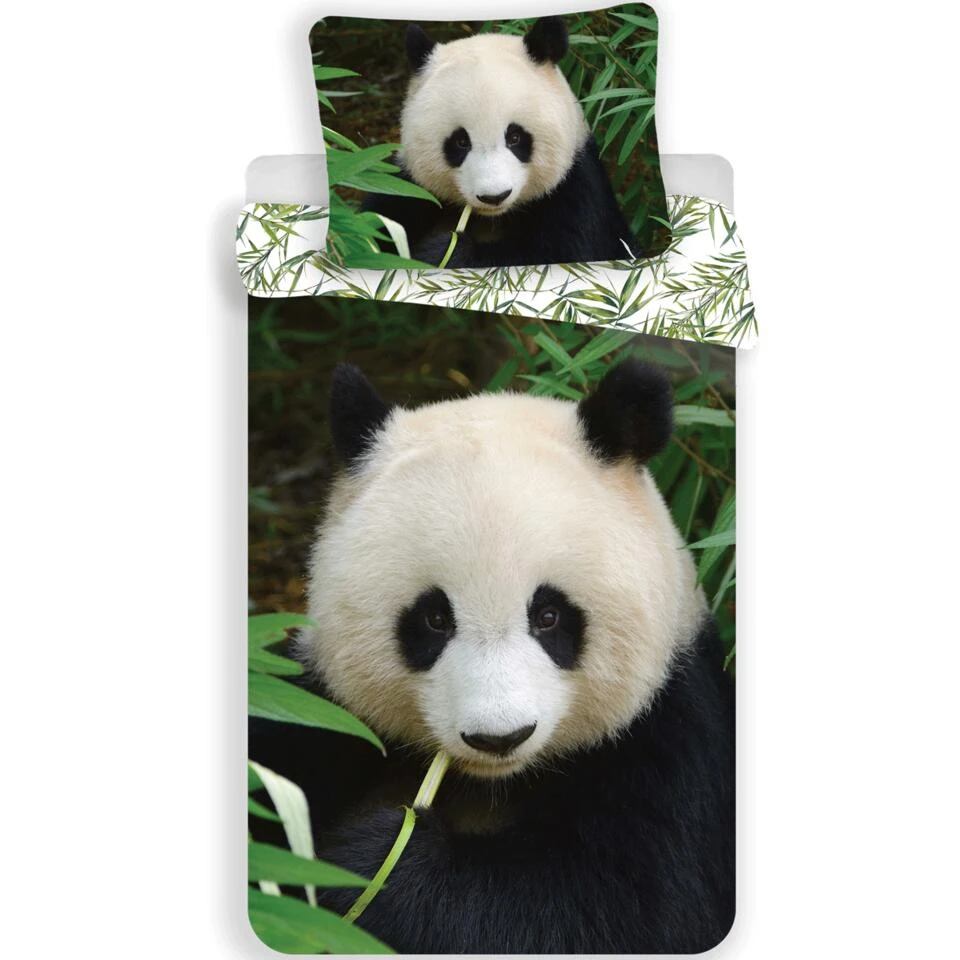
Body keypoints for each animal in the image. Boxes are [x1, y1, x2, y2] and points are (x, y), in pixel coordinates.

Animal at [250, 358, 735, 954]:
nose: (499, 737)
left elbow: (614, 910)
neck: (492, 782)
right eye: (435, 619)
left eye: (548, 616)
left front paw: (373, 862)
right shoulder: (322, 710)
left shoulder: (673, 740)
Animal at [362, 17, 639, 268]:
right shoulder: (407, 186)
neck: (492, 218)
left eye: (515, 138)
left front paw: (445, 252)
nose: (494, 196)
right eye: (461, 142)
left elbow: (559, 254)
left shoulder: (576, 190)